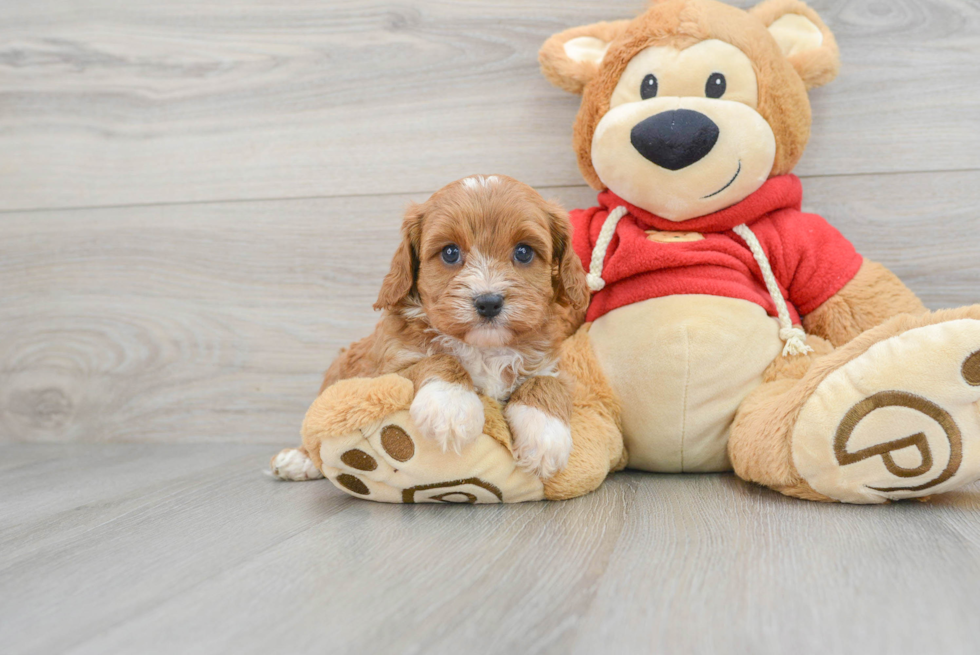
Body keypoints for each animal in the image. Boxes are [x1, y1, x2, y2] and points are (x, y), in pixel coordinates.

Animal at [272, 174, 584, 482]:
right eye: (450, 252)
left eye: (523, 252)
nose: (488, 302)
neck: (484, 348)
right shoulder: (388, 370)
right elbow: (440, 359)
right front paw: (450, 408)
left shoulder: (549, 363)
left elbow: (546, 382)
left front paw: (545, 438)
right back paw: (298, 460)